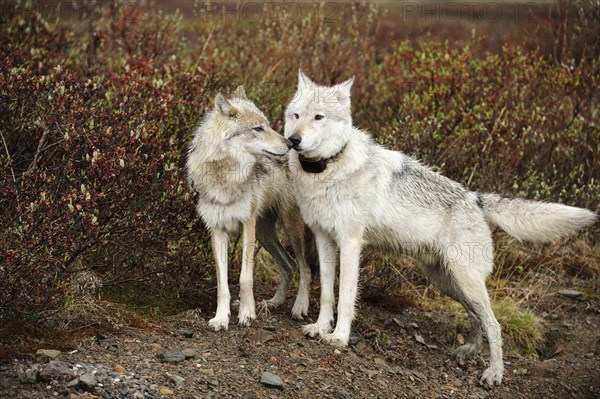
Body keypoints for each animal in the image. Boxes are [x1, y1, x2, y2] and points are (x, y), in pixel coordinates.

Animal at [185, 87, 312, 332]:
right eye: (257, 129)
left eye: (268, 125)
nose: (290, 143)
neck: (225, 174)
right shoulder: (217, 229)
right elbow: (222, 282)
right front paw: (221, 318)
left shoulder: (247, 224)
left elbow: (245, 278)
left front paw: (246, 314)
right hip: (265, 235)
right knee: (289, 265)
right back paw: (272, 303)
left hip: (290, 229)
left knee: (305, 268)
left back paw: (299, 308)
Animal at [284, 70, 596, 386]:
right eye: (296, 115)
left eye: (318, 117)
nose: (292, 140)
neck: (329, 166)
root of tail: (476, 198)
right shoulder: (323, 238)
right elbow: (326, 293)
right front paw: (320, 328)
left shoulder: (350, 243)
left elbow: (346, 297)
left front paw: (339, 337)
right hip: (447, 281)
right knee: (476, 316)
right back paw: (469, 350)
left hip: (464, 279)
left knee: (494, 324)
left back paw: (494, 373)